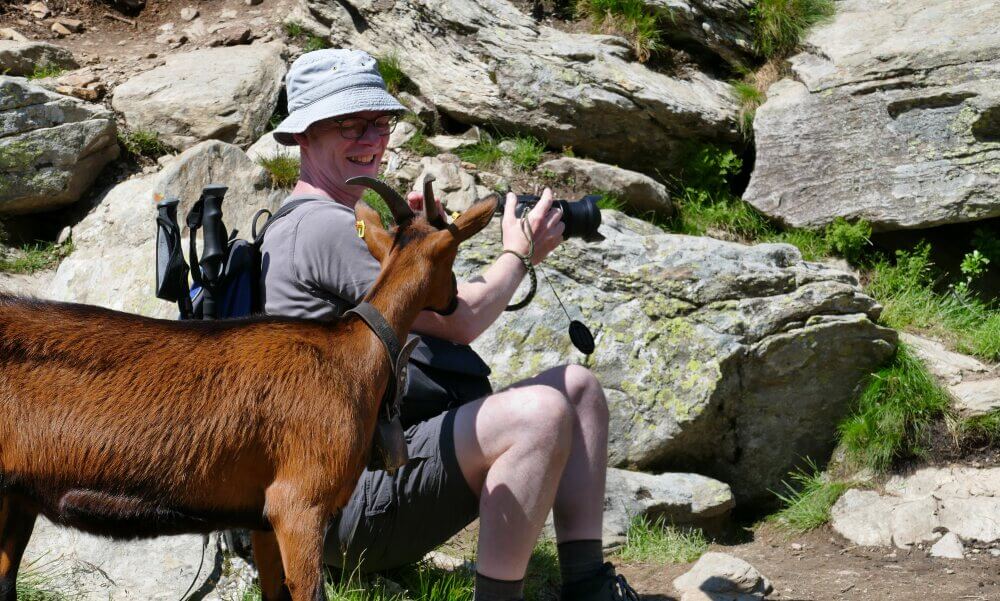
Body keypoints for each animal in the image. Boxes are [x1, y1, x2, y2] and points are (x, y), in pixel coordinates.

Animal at [0, 195, 498, 596]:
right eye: (453, 256)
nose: (455, 301)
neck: (354, 351)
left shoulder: (261, 518)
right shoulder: (299, 504)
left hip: (16, 498)